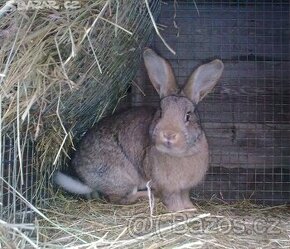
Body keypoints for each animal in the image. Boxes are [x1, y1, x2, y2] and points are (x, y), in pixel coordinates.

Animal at [55, 48, 225, 212]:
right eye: (161, 112)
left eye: (188, 116)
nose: (168, 135)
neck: (180, 154)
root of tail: (85, 178)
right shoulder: (168, 188)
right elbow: (172, 200)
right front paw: (180, 211)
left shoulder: (185, 189)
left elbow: (185, 197)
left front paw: (191, 209)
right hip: (123, 178)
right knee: (121, 198)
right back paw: (149, 195)